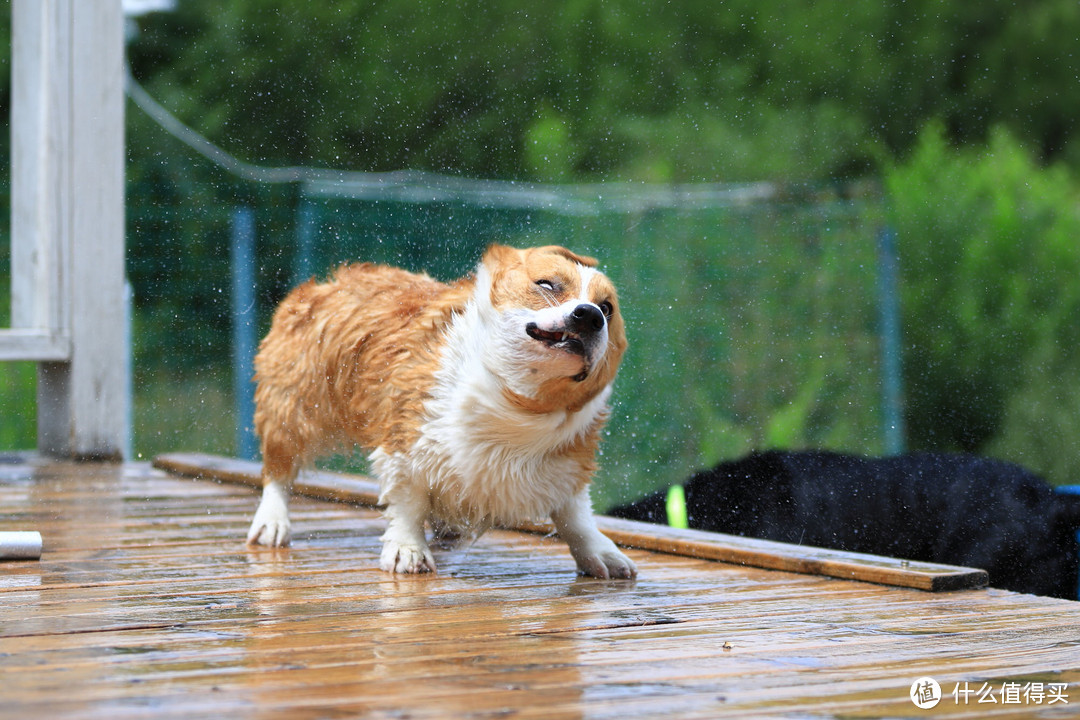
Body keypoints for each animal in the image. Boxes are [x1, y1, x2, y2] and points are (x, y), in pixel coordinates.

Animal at [247, 243, 630, 578]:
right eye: (547, 284)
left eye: (607, 307)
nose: (590, 315)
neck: (519, 404)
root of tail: (324, 283)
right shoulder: (407, 437)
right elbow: (409, 502)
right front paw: (407, 549)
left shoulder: (566, 463)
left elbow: (575, 515)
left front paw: (599, 554)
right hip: (293, 404)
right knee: (278, 468)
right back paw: (272, 522)